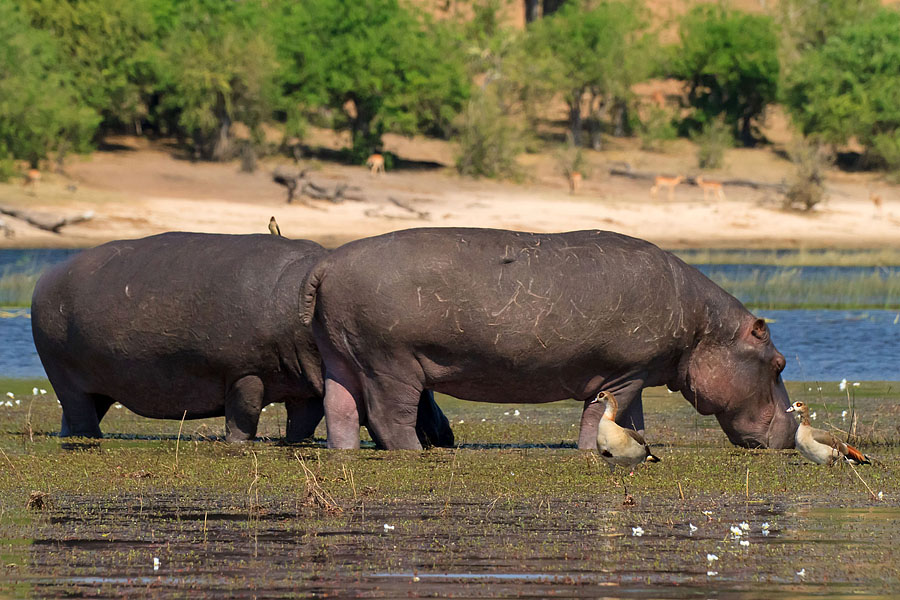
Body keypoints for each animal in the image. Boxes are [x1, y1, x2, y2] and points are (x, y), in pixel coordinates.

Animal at [30, 231, 454, 446]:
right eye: (420, 386)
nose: (445, 436)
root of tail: (45, 276)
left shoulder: (304, 383)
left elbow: (303, 422)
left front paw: (292, 444)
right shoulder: (243, 372)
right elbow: (244, 415)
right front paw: (237, 444)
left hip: (94, 387)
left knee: (76, 416)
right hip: (65, 378)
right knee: (81, 418)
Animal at [300, 227, 796, 448]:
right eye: (780, 363)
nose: (793, 427)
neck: (704, 329)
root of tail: (325, 264)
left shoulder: (634, 374)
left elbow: (630, 421)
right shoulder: (624, 372)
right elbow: (599, 418)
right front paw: (593, 451)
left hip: (342, 357)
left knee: (340, 411)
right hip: (390, 363)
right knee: (389, 417)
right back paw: (416, 451)